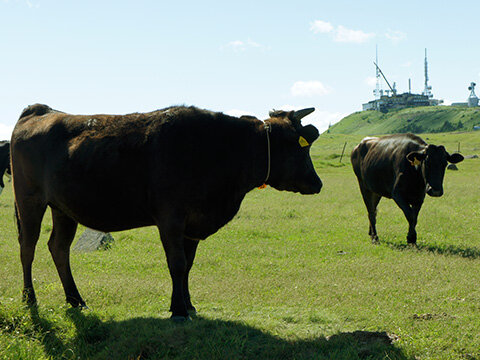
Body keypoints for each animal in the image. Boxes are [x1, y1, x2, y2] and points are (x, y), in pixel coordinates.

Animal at [10, 103, 322, 320]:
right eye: (300, 146)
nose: (317, 183)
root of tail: (40, 110)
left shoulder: (193, 224)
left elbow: (188, 266)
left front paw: (188, 305)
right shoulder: (171, 219)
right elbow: (177, 264)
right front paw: (179, 310)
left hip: (64, 209)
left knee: (59, 248)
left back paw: (76, 300)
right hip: (29, 200)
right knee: (28, 247)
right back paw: (30, 298)